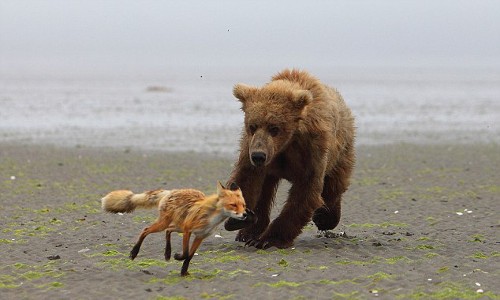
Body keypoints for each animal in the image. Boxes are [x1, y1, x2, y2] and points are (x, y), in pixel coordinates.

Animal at [101, 180, 248, 276]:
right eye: (233, 205)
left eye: (244, 205)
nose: (245, 215)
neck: (211, 218)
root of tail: (171, 191)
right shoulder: (188, 231)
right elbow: (186, 253)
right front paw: (178, 257)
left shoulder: (200, 236)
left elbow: (190, 256)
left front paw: (183, 271)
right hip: (165, 224)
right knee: (146, 230)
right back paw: (134, 252)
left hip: (177, 226)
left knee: (168, 231)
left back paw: (167, 253)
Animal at [223, 69, 356, 248]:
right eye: (252, 126)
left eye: (274, 128)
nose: (258, 156)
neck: (285, 145)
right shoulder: (251, 147)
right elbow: (246, 178)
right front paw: (238, 220)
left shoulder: (311, 150)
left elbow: (304, 193)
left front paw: (268, 240)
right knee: (265, 191)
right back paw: (248, 233)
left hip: (340, 151)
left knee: (334, 186)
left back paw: (325, 218)